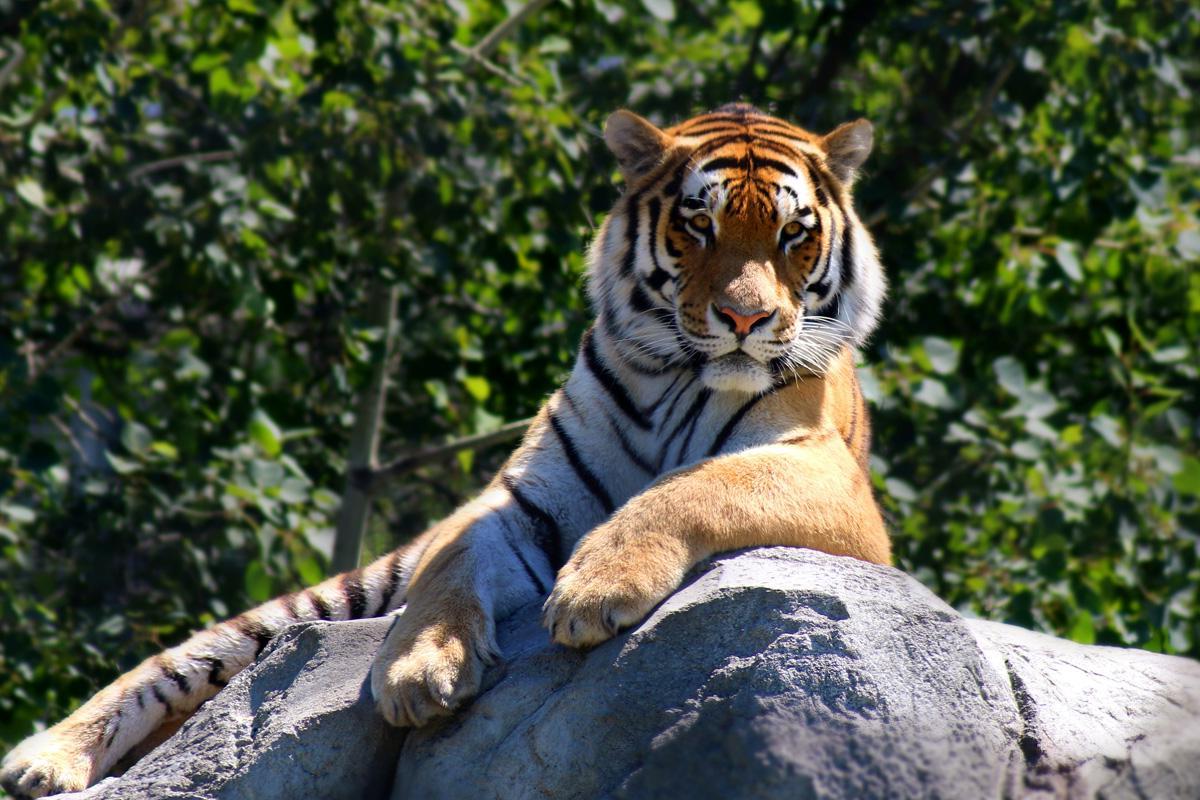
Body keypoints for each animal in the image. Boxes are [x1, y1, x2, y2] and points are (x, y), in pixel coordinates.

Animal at [0, 103, 890, 798]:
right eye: (698, 225)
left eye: (792, 235)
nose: (745, 319)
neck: (676, 374)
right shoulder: (518, 498)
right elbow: (453, 565)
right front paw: (417, 672)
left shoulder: (827, 478)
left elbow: (694, 486)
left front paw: (594, 588)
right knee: (175, 664)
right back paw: (43, 760)